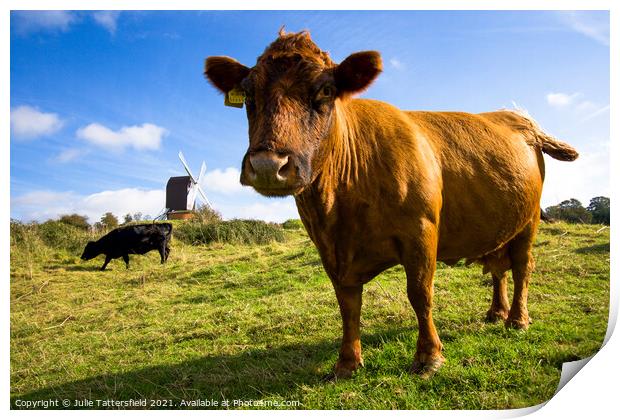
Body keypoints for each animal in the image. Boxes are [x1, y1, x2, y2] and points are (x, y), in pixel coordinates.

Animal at [203, 29, 576, 378]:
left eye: (325, 91)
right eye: (249, 94)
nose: (268, 165)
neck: (339, 211)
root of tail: (516, 117)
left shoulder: (420, 231)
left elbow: (420, 294)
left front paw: (428, 356)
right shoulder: (330, 250)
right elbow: (348, 304)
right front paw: (347, 363)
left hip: (528, 222)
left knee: (522, 267)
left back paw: (517, 319)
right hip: (497, 225)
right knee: (498, 268)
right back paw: (496, 313)